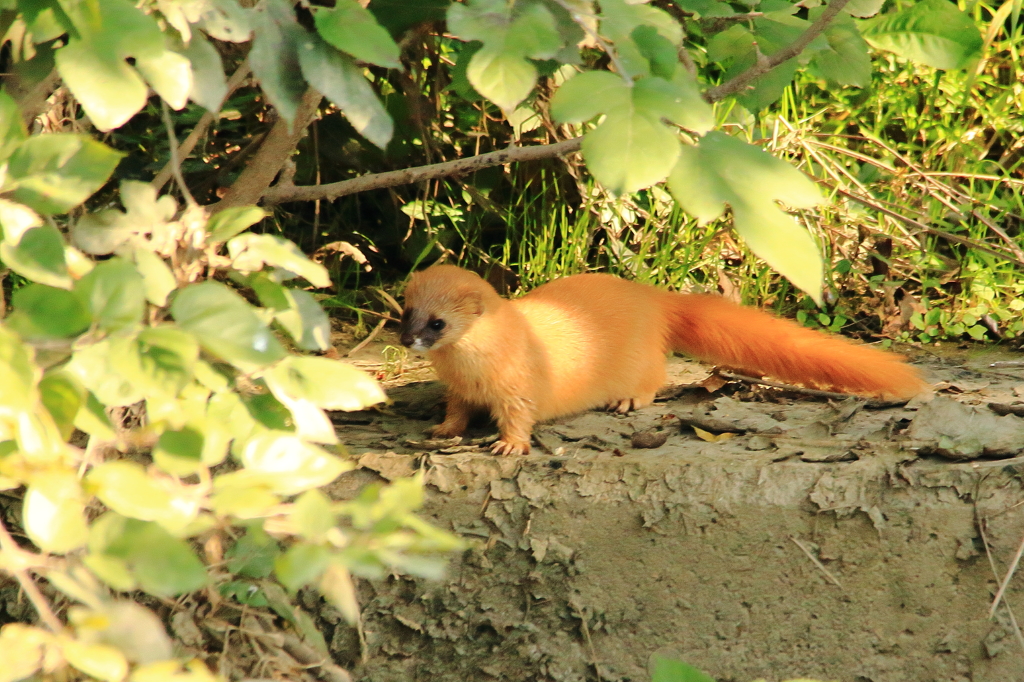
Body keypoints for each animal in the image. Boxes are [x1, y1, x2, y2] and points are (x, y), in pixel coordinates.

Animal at [397, 264, 929, 450]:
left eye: (437, 323)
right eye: (405, 311)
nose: (407, 341)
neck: (471, 371)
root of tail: (651, 298)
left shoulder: (519, 384)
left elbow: (519, 416)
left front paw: (510, 446)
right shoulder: (459, 390)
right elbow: (457, 411)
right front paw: (443, 429)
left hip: (639, 359)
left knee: (655, 375)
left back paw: (628, 400)